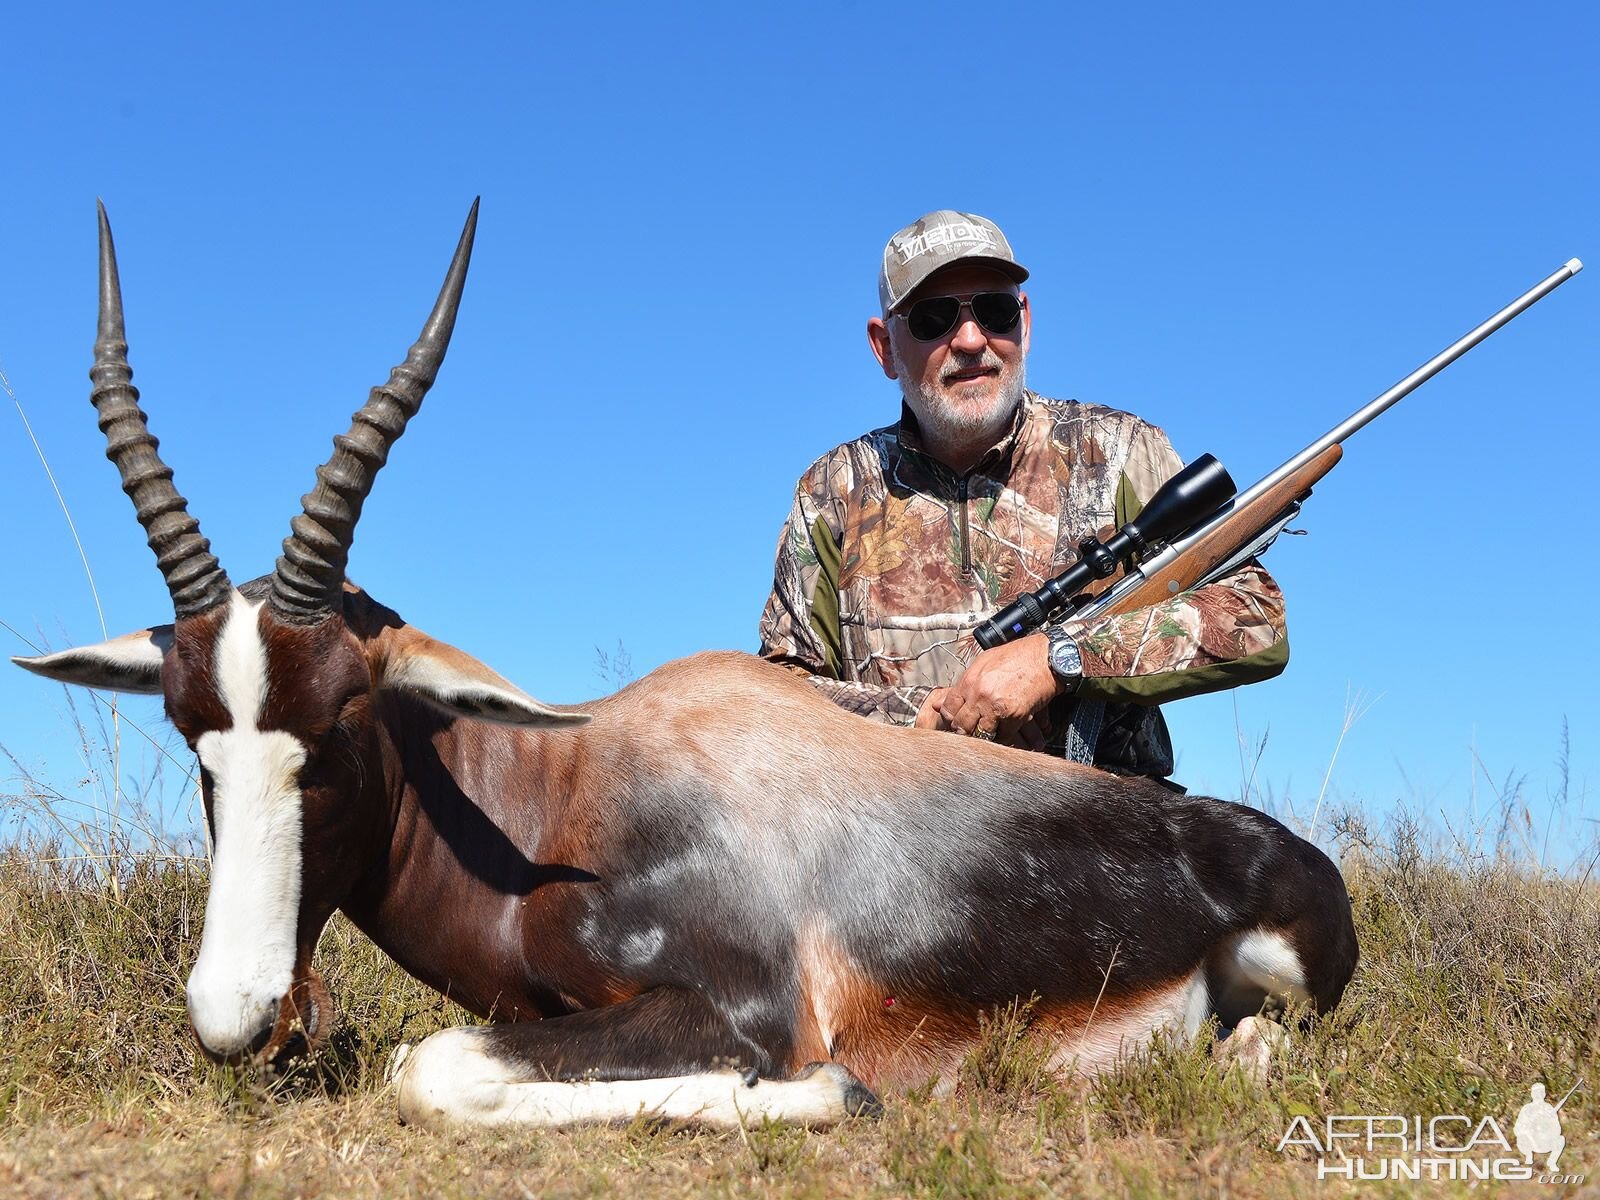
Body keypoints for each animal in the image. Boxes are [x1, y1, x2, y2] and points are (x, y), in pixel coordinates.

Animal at [15, 202, 1363, 1132]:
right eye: (189, 730)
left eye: (342, 716)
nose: (234, 1013)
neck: (565, 790)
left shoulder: (735, 1009)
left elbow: (428, 1067)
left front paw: (835, 1096)